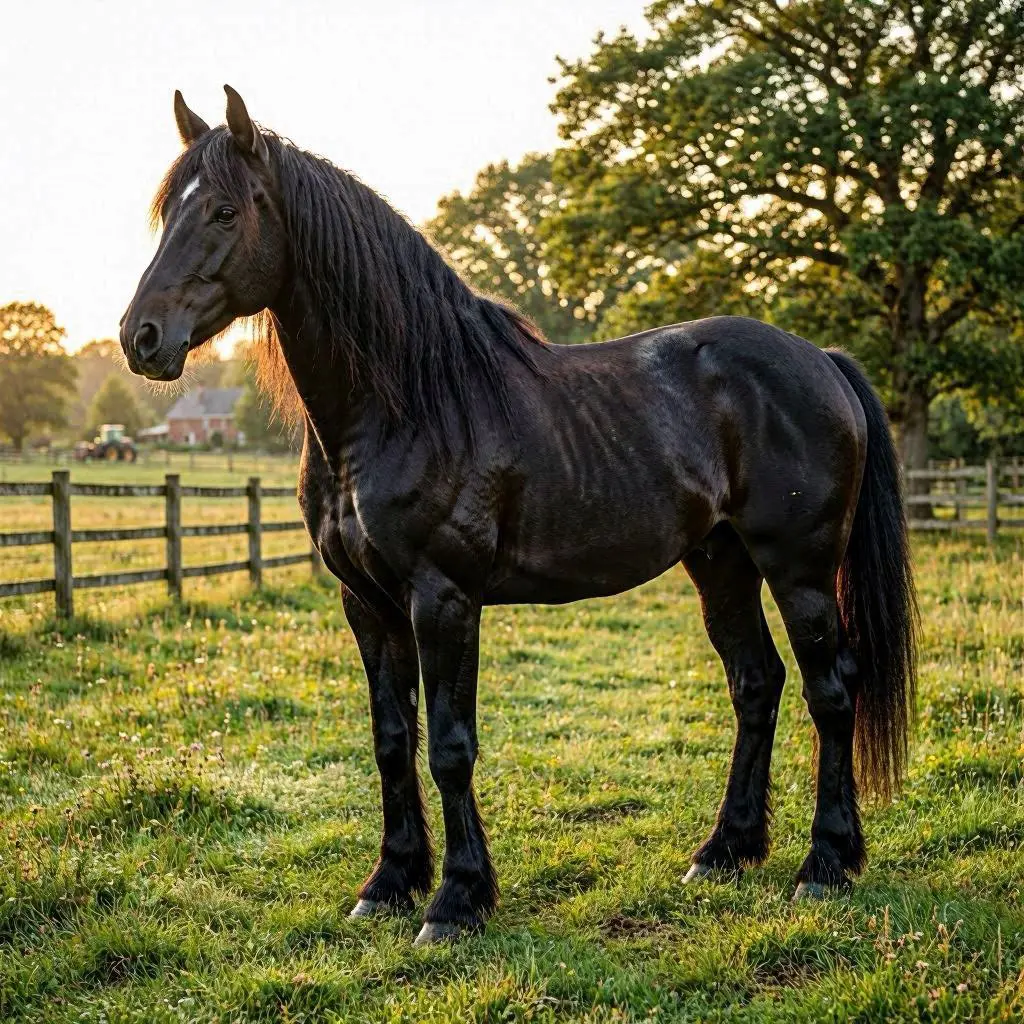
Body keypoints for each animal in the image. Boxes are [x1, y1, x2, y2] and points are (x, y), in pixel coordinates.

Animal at [120, 86, 917, 945]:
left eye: (225, 211)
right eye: (166, 213)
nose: (141, 337)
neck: (406, 403)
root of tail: (819, 360)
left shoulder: (443, 599)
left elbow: (449, 746)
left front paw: (455, 901)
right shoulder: (366, 604)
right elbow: (391, 742)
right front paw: (389, 883)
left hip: (799, 569)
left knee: (830, 693)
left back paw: (825, 866)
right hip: (720, 563)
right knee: (756, 684)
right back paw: (724, 851)